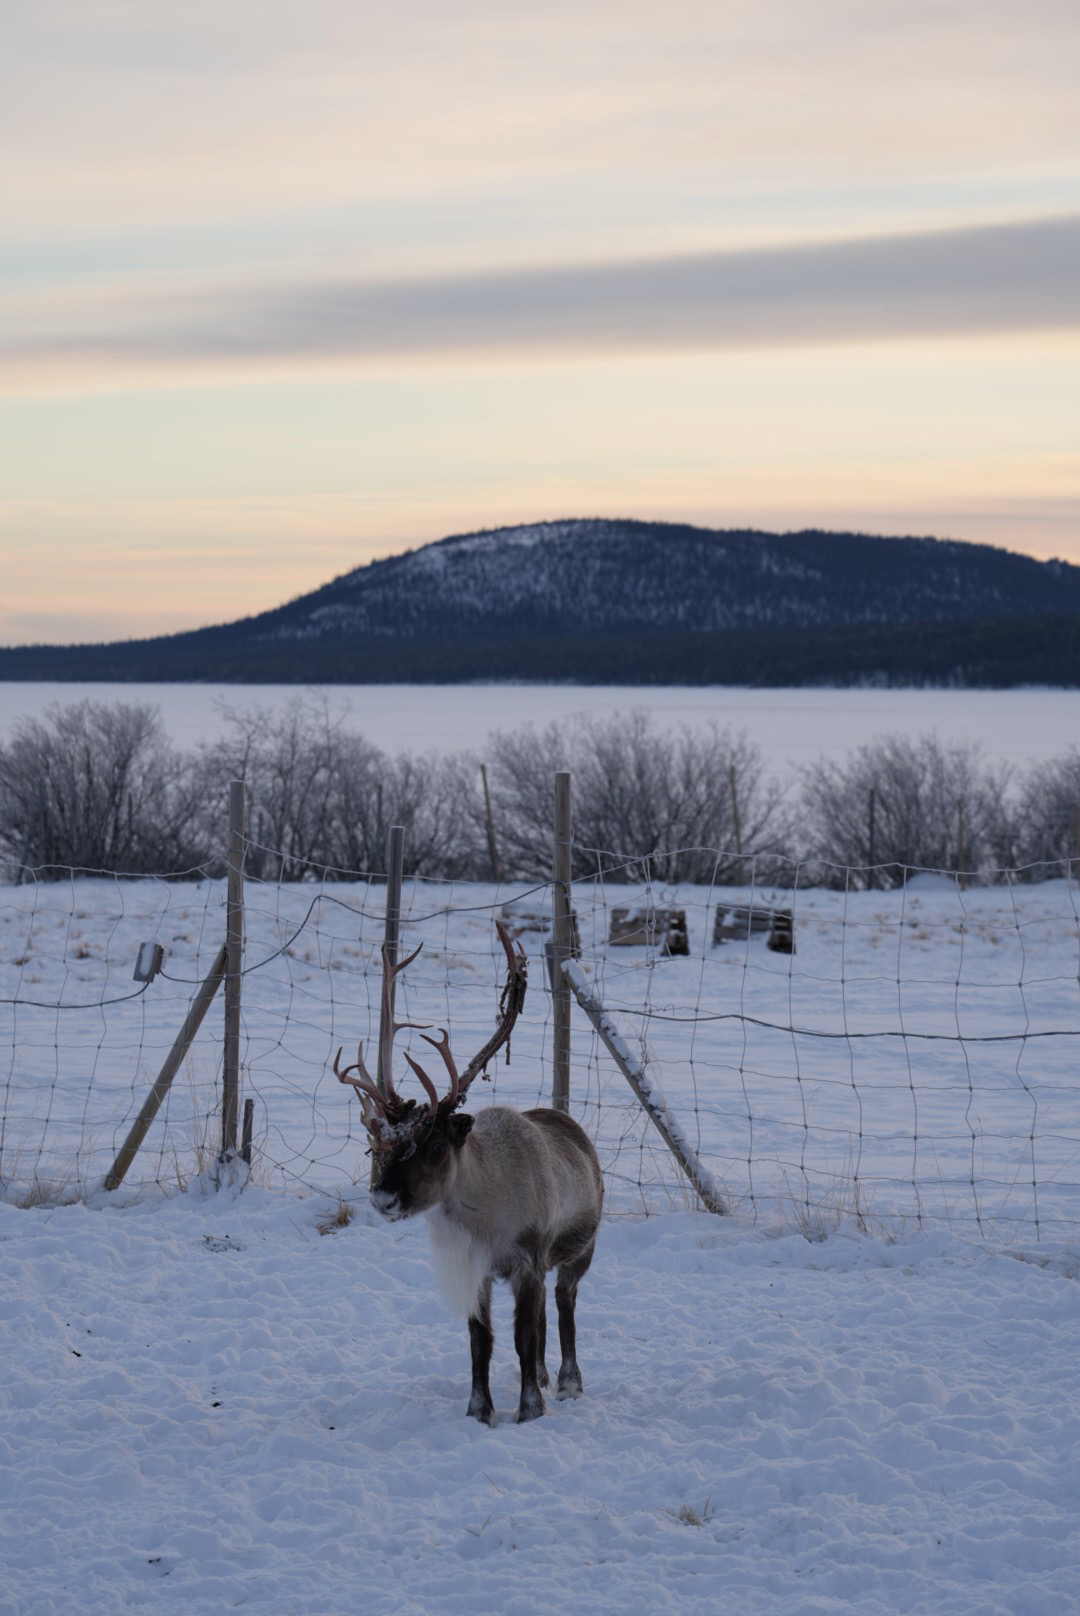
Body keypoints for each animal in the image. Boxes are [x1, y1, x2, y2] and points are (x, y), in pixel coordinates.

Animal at [334, 922, 603, 1424]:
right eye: (377, 1147)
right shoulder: (477, 1267)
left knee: (563, 1304)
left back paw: (568, 1382)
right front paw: (479, 1411)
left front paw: (529, 1411)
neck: (483, 1216)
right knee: (544, 1315)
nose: (383, 1199)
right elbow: (482, 1341)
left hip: (581, 1249)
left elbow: (522, 1338)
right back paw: (543, 1377)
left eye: (436, 1146)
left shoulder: (527, 1262)